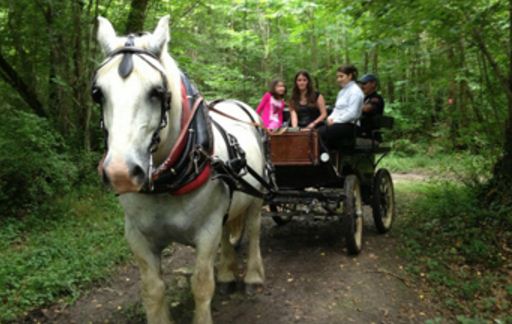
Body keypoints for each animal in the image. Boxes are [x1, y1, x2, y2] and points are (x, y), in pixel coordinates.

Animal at [93, 15, 266, 324]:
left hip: (256, 196)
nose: (121, 173)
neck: (168, 182)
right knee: (228, 231)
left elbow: (202, 284)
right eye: (97, 93)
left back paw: (253, 277)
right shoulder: (137, 236)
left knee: (255, 228)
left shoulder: (206, 231)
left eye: (157, 92)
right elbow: (152, 290)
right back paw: (226, 273)